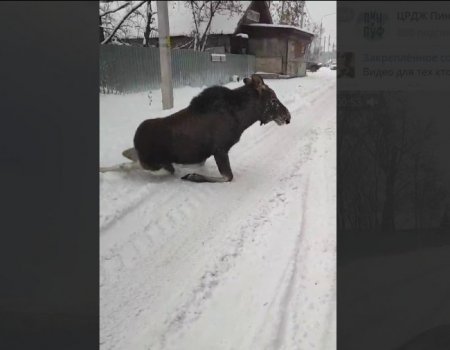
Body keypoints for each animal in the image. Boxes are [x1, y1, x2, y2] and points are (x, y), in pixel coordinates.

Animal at [101, 74, 292, 183]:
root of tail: (137, 137)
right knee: (133, 165)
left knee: (131, 158)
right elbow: (227, 176)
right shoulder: (220, 149)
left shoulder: (207, 153)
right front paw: (193, 176)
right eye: (273, 100)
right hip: (154, 163)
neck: (243, 118)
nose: (288, 117)